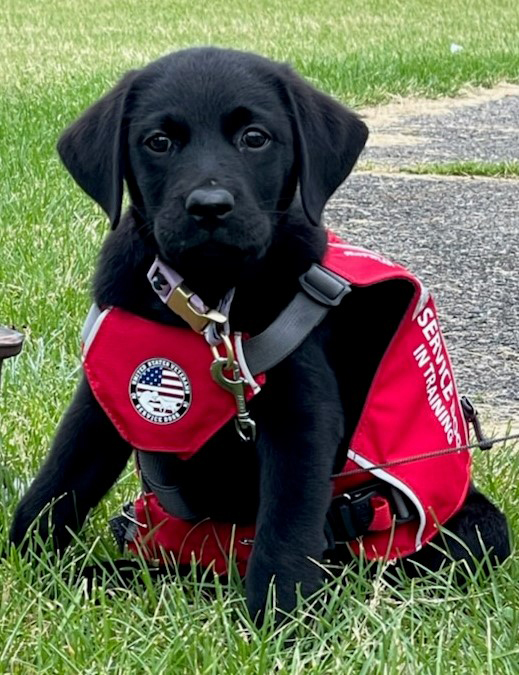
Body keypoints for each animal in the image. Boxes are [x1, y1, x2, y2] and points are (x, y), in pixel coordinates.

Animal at [10, 45, 510, 620]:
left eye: (255, 138)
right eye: (158, 142)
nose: (209, 207)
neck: (211, 303)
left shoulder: (301, 415)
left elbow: (287, 525)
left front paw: (281, 617)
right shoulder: (100, 401)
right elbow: (59, 480)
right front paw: (26, 560)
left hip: (474, 531)